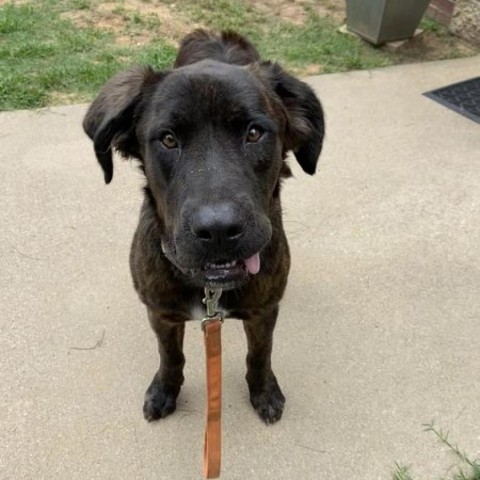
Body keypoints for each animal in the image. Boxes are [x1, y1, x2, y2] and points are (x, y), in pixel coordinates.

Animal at [83, 29, 326, 424]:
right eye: (168, 139)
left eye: (254, 133)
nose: (219, 231)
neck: (210, 289)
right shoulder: (161, 313)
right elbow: (171, 356)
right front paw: (165, 390)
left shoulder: (263, 310)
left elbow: (260, 354)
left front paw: (264, 391)